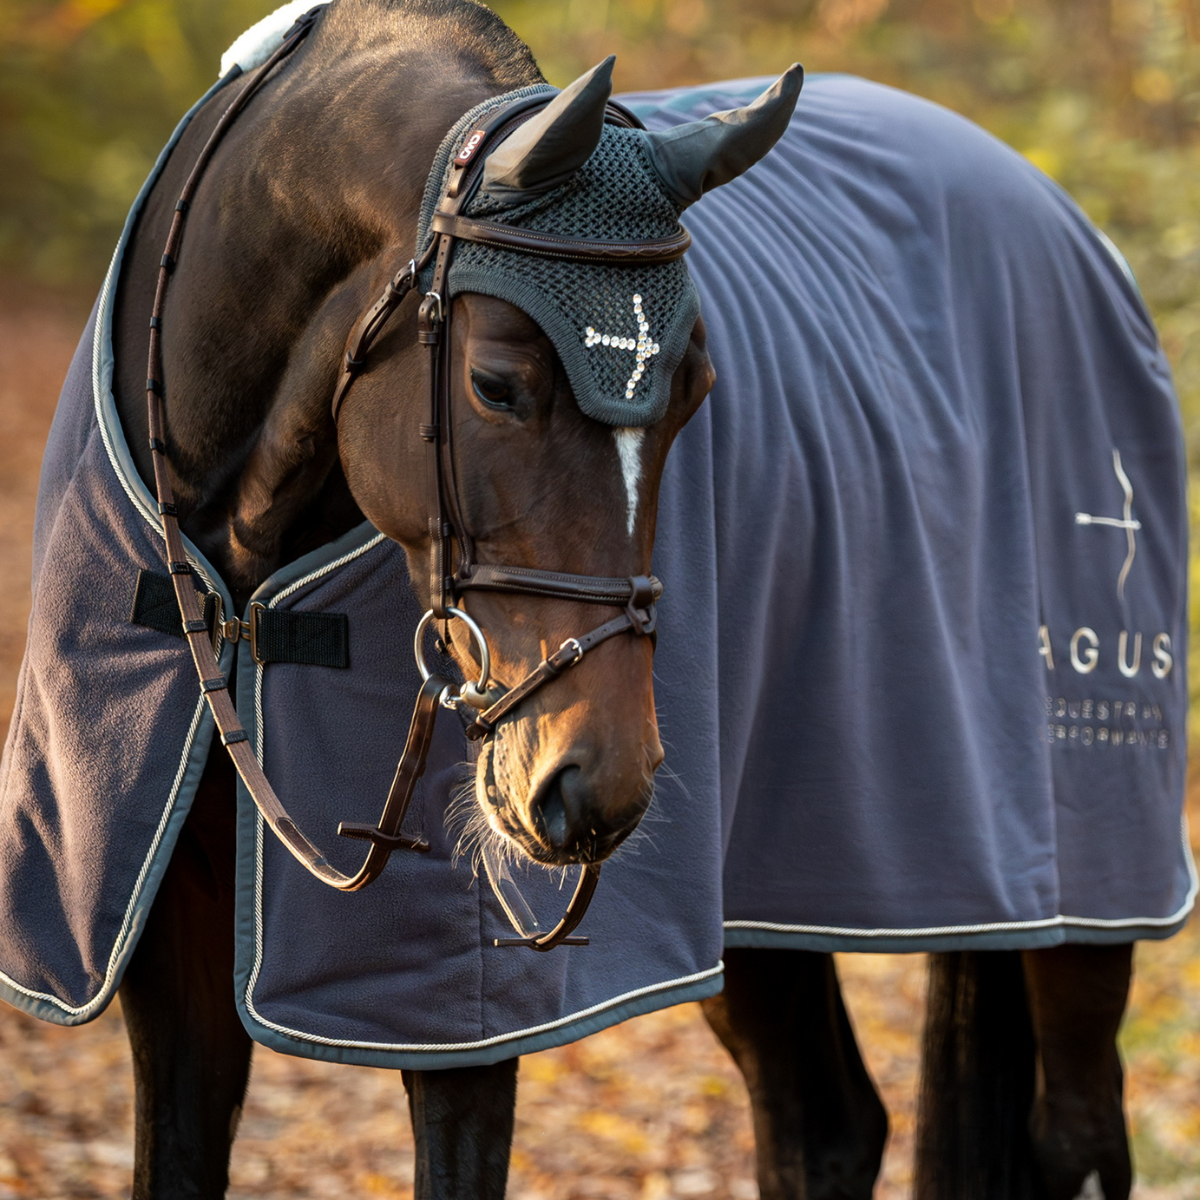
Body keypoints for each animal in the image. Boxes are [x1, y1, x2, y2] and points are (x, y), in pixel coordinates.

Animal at [0, 1, 1188, 1198]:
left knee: (1074, 1133)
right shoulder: (168, 958)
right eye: (494, 385)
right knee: (825, 1122)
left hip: (1085, 895)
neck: (236, 593)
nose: (595, 784)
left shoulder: (463, 1024)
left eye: (696, 389)